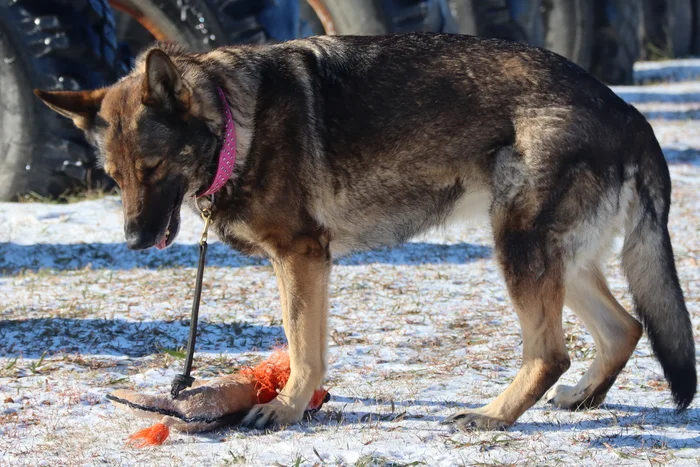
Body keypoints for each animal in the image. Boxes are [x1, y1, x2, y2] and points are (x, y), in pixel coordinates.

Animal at [34, 33, 696, 432]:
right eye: (115, 177)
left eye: (152, 168)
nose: (134, 243)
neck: (233, 123)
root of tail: (627, 112)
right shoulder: (299, 264)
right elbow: (305, 342)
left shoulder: (301, 259)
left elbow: (304, 347)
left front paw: (285, 408)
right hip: (556, 259)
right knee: (626, 326)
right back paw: (583, 396)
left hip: (519, 248)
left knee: (552, 351)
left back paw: (491, 416)